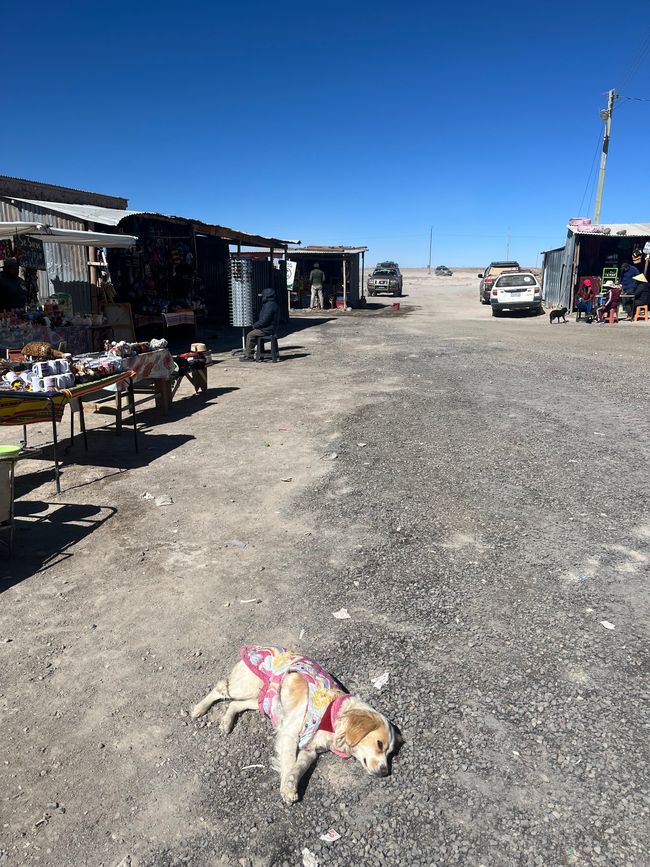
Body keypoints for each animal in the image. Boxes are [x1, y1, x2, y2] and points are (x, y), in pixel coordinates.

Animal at [190, 644, 398, 808]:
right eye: (379, 744)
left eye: (390, 753)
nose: (385, 772)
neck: (331, 716)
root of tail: (254, 647)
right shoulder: (290, 733)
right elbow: (289, 761)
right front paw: (285, 786)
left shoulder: (310, 750)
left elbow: (299, 768)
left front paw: (290, 786)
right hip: (246, 687)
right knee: (220, 689)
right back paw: (199, 709)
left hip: (262, 699)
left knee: (234, 704)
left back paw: (226, 722)